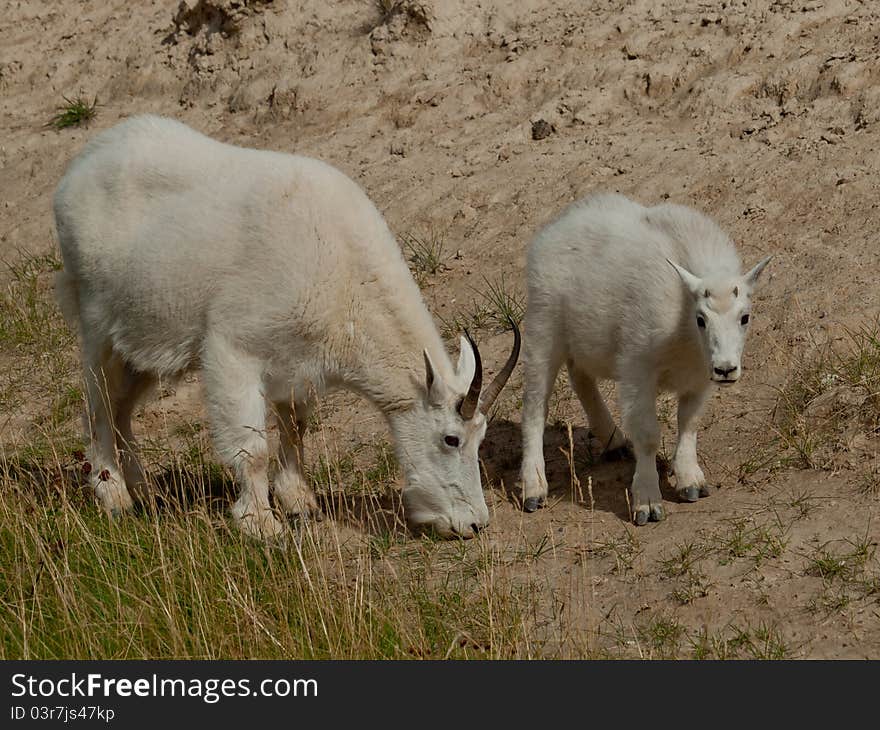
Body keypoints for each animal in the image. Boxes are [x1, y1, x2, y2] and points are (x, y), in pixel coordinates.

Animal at [55, 115, 520, 540]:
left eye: (480, 438)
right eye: (451, 439)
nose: (474, 524)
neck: (344, 272)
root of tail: (77, 170)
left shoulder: (297, 362)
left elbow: (295, 427)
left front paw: (299, 501)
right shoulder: (232, 348)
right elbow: (253, 447)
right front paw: (260, 523)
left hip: (142, 342)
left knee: (122, 408)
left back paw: (145, 491)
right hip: (95, 320)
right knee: (97, 403)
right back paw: (114, 495)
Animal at [520, 193, 768, 524]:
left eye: (745, 317)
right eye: (701, 319)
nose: (726, 369)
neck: (684, 327)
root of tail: (554, 228)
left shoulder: (699, 378)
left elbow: (689, 422)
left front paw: (690, 482)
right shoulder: (638, 368)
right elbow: (648, 434)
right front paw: (648, 502)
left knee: (580, 376)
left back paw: (613, 440)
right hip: (543, 325)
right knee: (535, 405)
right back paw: (534, 487)